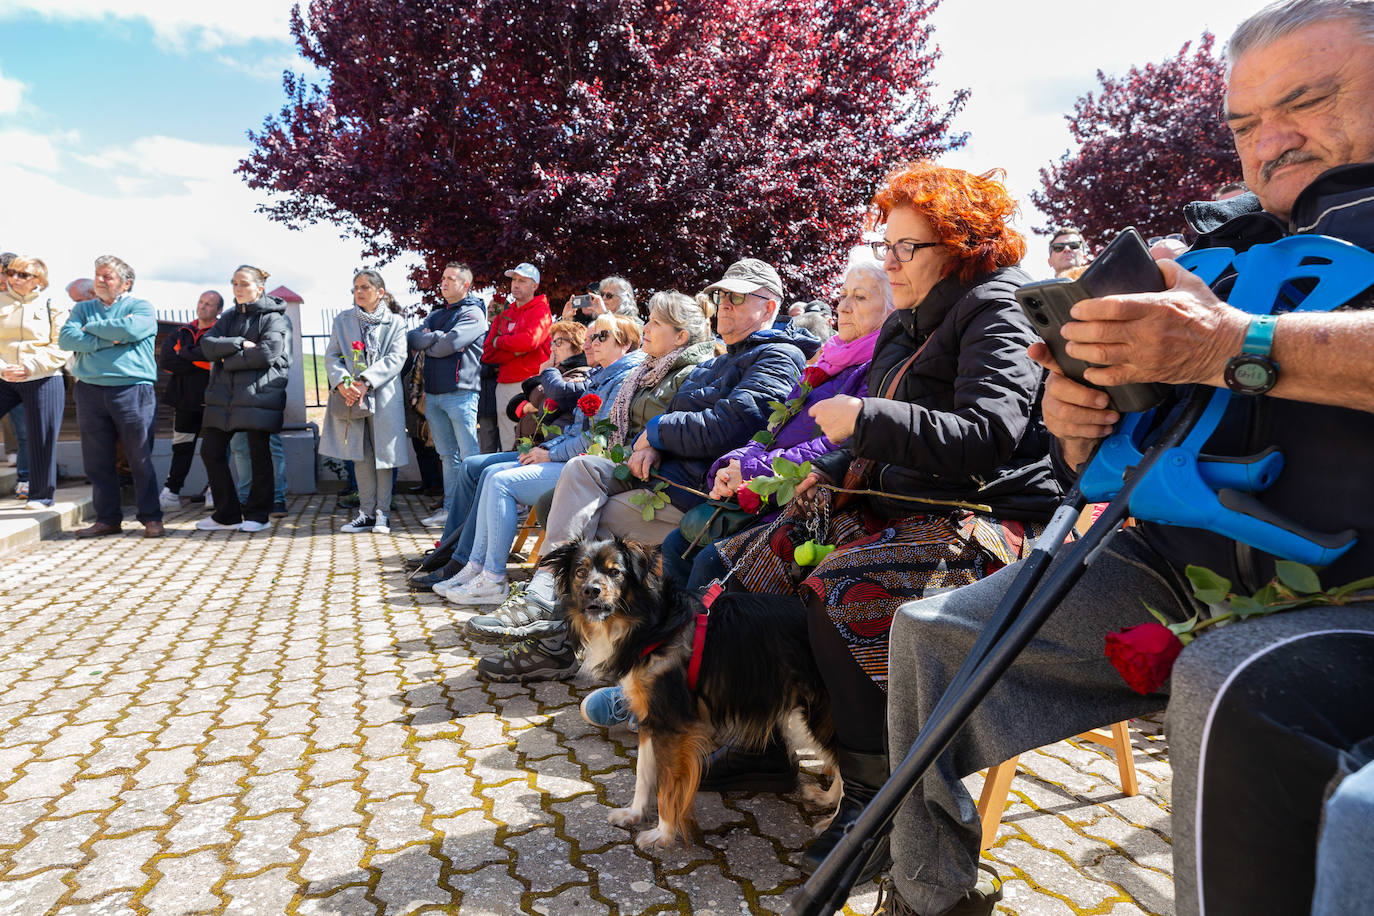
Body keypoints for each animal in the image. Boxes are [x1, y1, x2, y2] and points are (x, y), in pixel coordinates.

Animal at [544, 532, 835, 851]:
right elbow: (643, 774)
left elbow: (667, 786)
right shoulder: (651, 718)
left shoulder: (673, 726)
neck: (654, 625)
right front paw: (634, 814)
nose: (591, 591)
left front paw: (662, 833)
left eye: (615, 572)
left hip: (824, 713)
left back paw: (833, 822)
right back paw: (827, 798)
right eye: (580, 572)